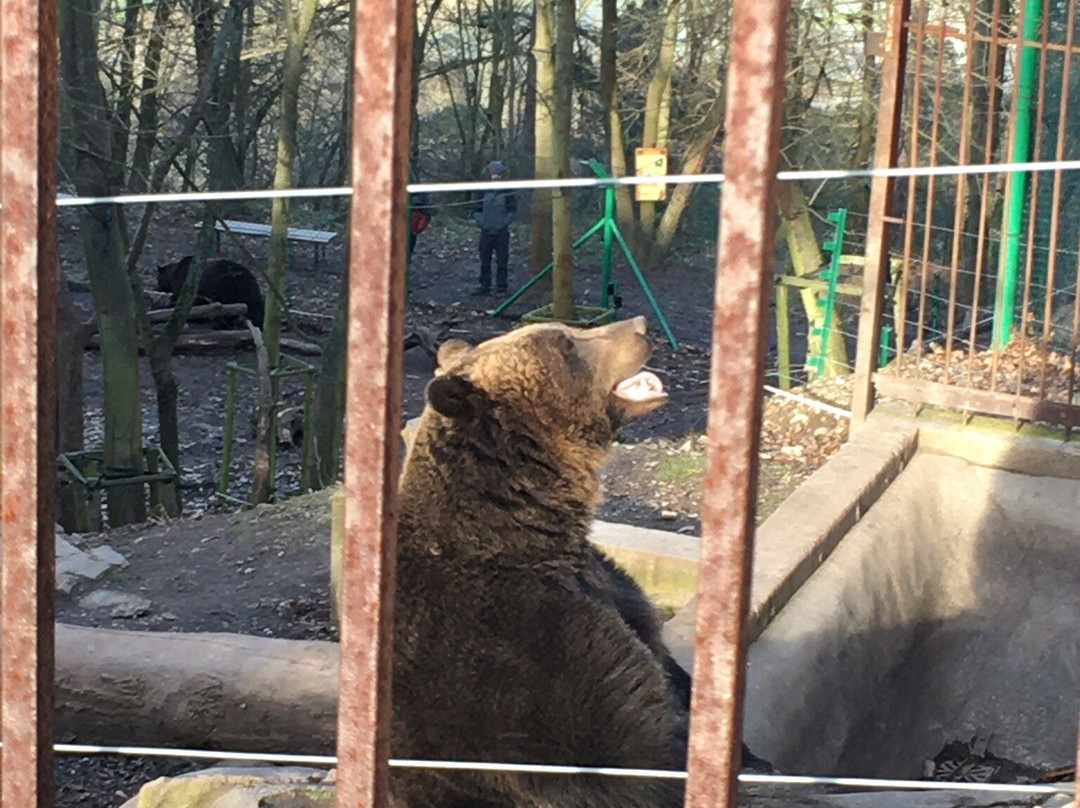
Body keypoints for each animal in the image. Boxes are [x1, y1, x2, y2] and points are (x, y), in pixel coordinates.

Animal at [395, 315, 760, 808]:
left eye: (565, 331)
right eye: (566, 344)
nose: (639, 325)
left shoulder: (608, 589)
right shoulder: (531, 662)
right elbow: (633, 751)